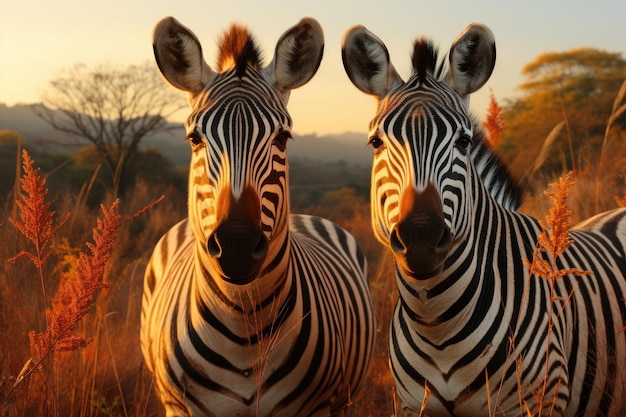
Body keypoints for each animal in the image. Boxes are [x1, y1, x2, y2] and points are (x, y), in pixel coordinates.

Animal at [142, 16, 376, 416]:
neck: (244, 324)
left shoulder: (317, 406)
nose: (236, 246)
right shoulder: (179, 406)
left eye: (282, 138)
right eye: (194, 139)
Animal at [342, 23, 624, 416]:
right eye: (376, 143)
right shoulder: (414, 406)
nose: (420, 239)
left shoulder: (540, 399)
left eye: (464, 142)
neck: (436, 324)